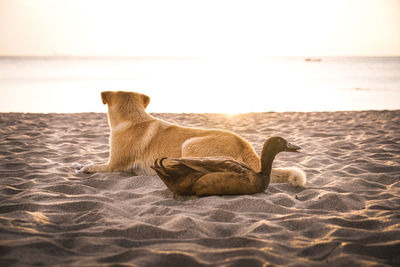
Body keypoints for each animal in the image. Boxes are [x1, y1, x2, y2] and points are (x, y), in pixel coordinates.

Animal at [79, 91, 306, 187]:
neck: (134, 118)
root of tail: (245, 145)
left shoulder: (113, 165)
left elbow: (94, 165)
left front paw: (83, 167)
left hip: (190, 144)